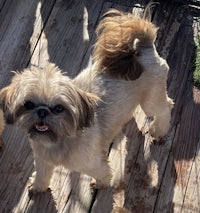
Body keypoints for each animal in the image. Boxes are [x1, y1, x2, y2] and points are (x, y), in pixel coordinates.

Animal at [0, 9, 173, 193]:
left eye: (59, 108)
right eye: (28, 105)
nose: (42, 111)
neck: (57, 141)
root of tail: (143, 47)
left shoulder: (94, 164)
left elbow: (103, 174)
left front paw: (100, 184)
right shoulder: (42, 161)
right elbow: (42, 175)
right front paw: (38, 187)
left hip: (150, 102)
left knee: (165, 108)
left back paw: (159, 130)